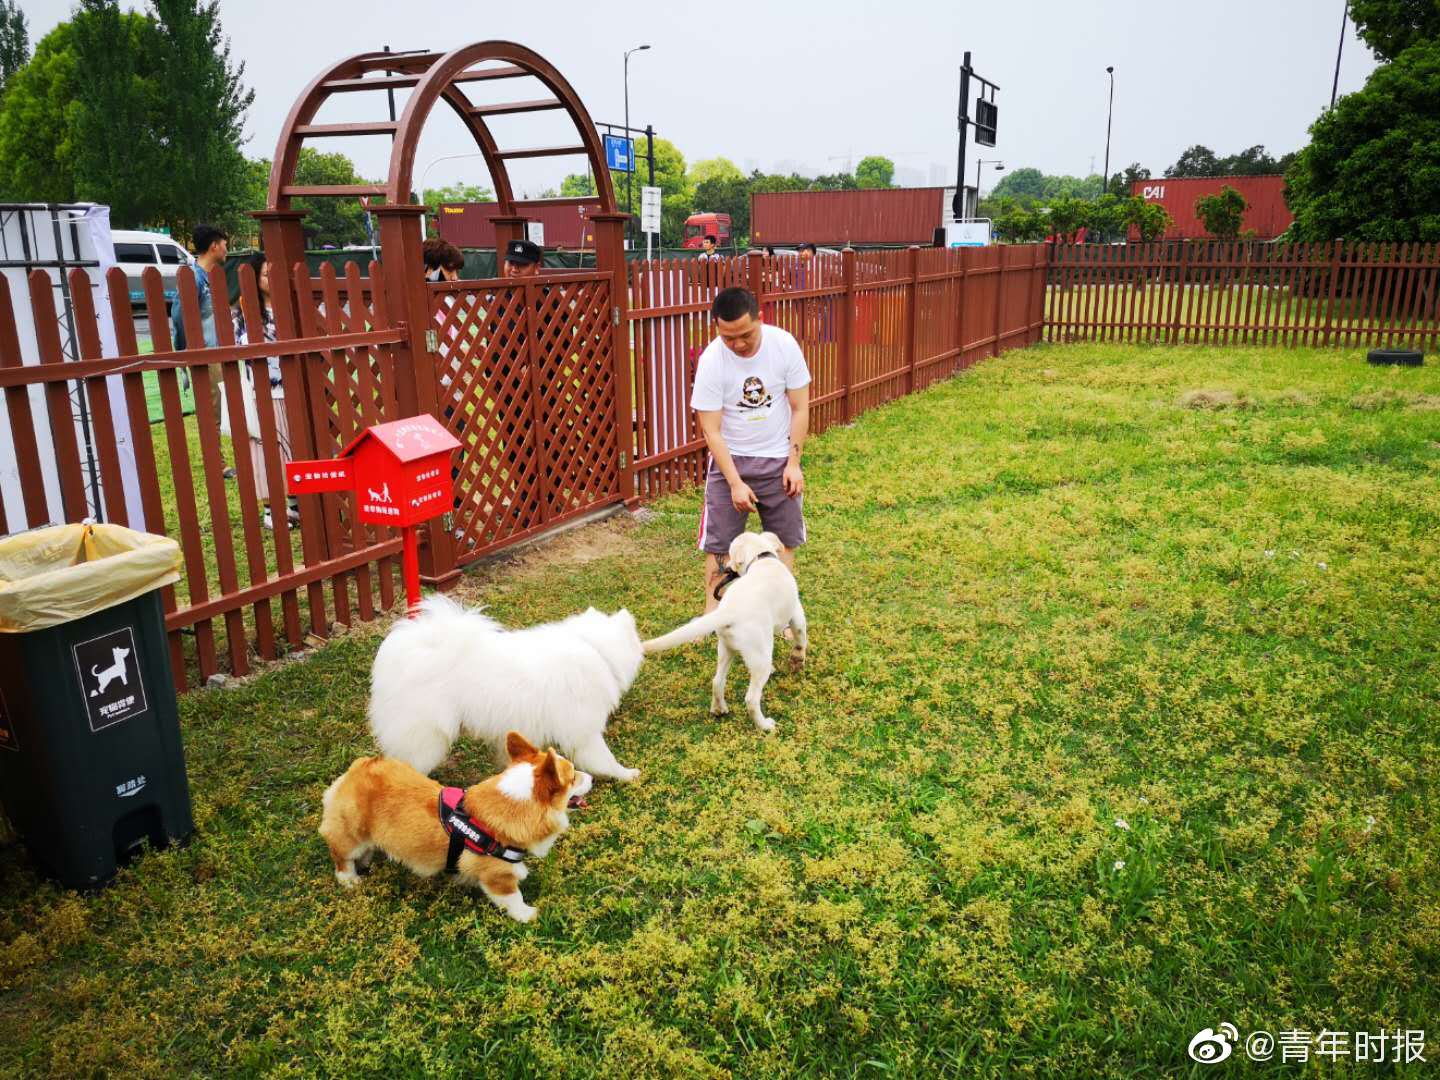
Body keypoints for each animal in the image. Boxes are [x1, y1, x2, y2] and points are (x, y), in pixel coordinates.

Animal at [321, 731, 590, 927]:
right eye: (573, 777)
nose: (592, 778)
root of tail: (358, 768)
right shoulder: (498, 877)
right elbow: (514, 898)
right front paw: (528, 915)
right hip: (350, 836)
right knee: (341, 856)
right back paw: (350, 879)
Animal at [645, 532, 806, 737]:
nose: (727, 568)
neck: (761, 558)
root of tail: (729, 611)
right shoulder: (797, 613)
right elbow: (801, 639)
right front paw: (798, 660)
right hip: (755, 658)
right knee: (751, 699)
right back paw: (765, 726)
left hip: (726, 649)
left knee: (717, 681)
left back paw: (718, 709)